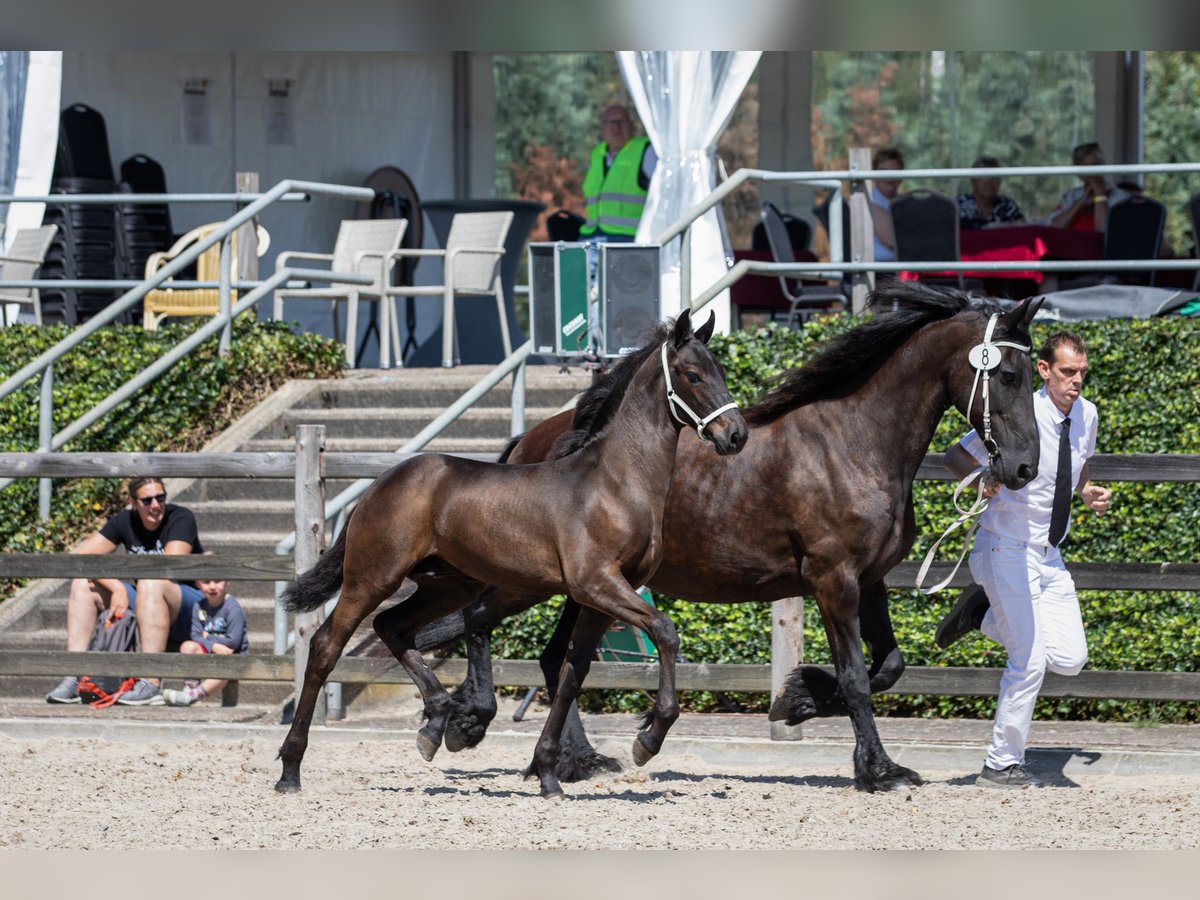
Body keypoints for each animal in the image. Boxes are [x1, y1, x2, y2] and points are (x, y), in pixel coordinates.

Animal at [278, 309, 748, 796]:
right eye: (692, 375)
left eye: (721, 370)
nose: (736, 435)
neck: (615, 483)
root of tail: (378, 485)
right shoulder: (597, 584)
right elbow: (665, 631)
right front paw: (648, 739)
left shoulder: (603, 597)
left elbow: (571, 673)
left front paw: (549, 774)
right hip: (372, 576)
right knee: (326, 646)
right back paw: (290, 769)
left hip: (449, 587)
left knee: (393, 626)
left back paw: (436, 724)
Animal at [417, 283, 1046, 796]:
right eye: (1007, 376)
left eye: (1036, 374)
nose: (1023, 468)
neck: (855, 444)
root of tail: (526, 443)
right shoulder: (833, 580)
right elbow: (856, 680)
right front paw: (876, 769)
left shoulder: (869, 581)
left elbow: (888, 666)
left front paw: (798, 700)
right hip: (543, 582)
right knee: (481, 623)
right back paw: (469, 723)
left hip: (585, 588)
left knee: (556, 660)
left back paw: (574, 762)